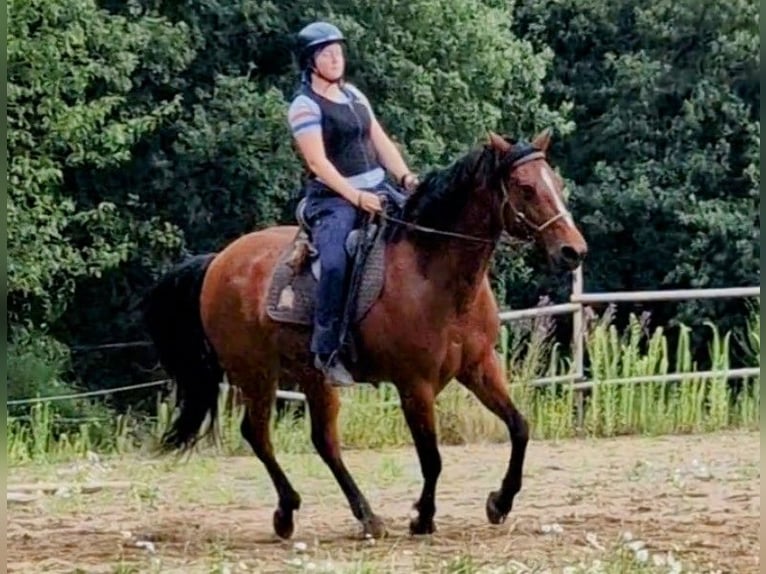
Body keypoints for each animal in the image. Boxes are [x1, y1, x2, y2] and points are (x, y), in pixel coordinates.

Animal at [142, 129, 588, 540]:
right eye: (526, 188)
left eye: (555, 181)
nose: (574, 251)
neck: (431, 272)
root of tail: (220, 260)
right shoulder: (414, 384)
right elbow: (432, 457)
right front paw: (422, 518)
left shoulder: (479, 367)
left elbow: (519, 427)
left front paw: (500, 502)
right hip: (257, 375)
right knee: (262, 436)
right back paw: (301, 512)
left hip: (310, 378)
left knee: (321, 441)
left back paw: (357, 515)